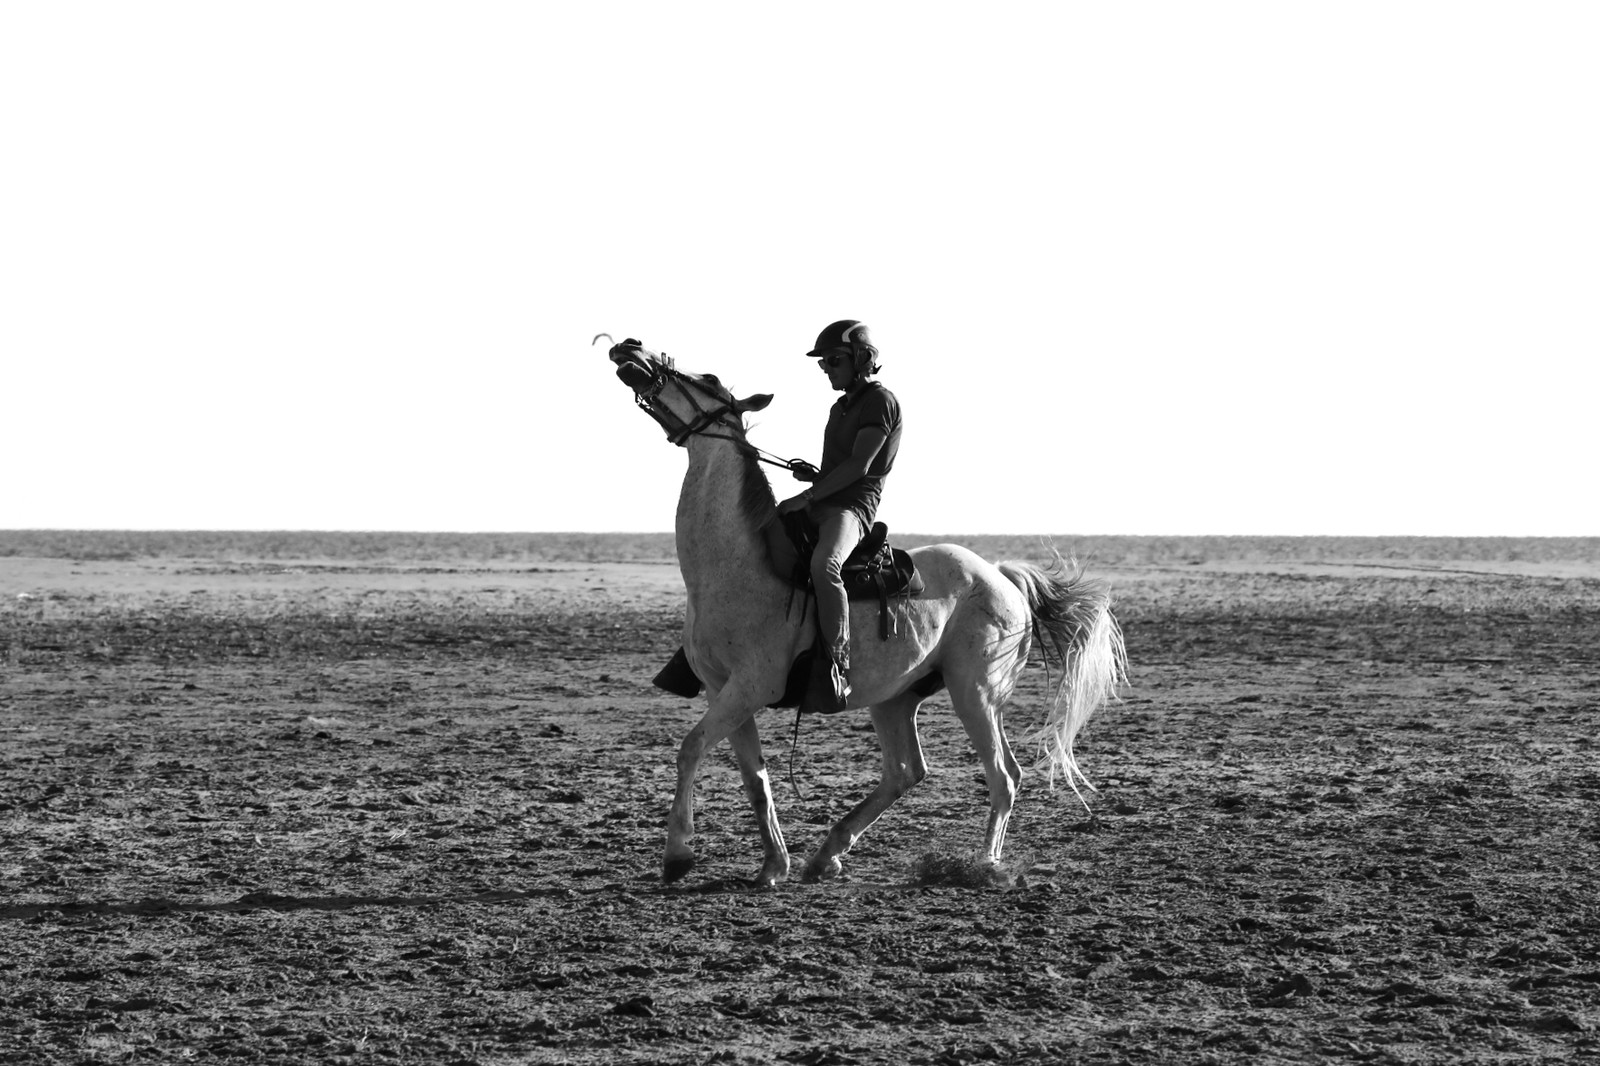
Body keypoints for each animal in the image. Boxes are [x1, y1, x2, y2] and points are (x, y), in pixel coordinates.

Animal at [605, 336, 1127, 887]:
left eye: (706, 379)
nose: (631, 349)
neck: (735, 564)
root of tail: (1002, 577)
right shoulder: (722, 689)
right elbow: (754, 778)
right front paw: (773, 864)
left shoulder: (751, 686)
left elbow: (689, 748)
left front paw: (678, 854)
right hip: (895, 697)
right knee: (905, 770)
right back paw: (827, 852)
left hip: (976, 692)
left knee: (1004, 776)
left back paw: (983, 864)